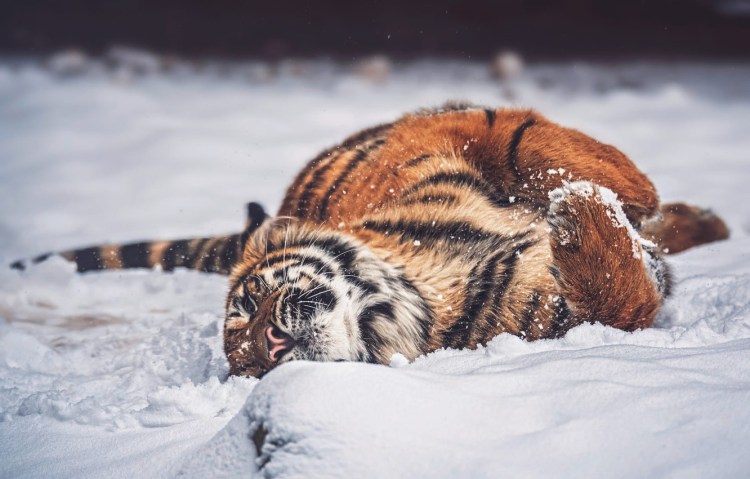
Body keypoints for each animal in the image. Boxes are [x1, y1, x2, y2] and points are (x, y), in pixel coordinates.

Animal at [11, 103, 729, 378]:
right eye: (250, 366)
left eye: (247, 307)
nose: (271, 344)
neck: (420, 291)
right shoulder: (561, 316)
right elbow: (625, 294)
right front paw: (582, 216)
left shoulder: (443, 135)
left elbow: (539, 145)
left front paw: (607, 195)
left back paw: (701, 220)